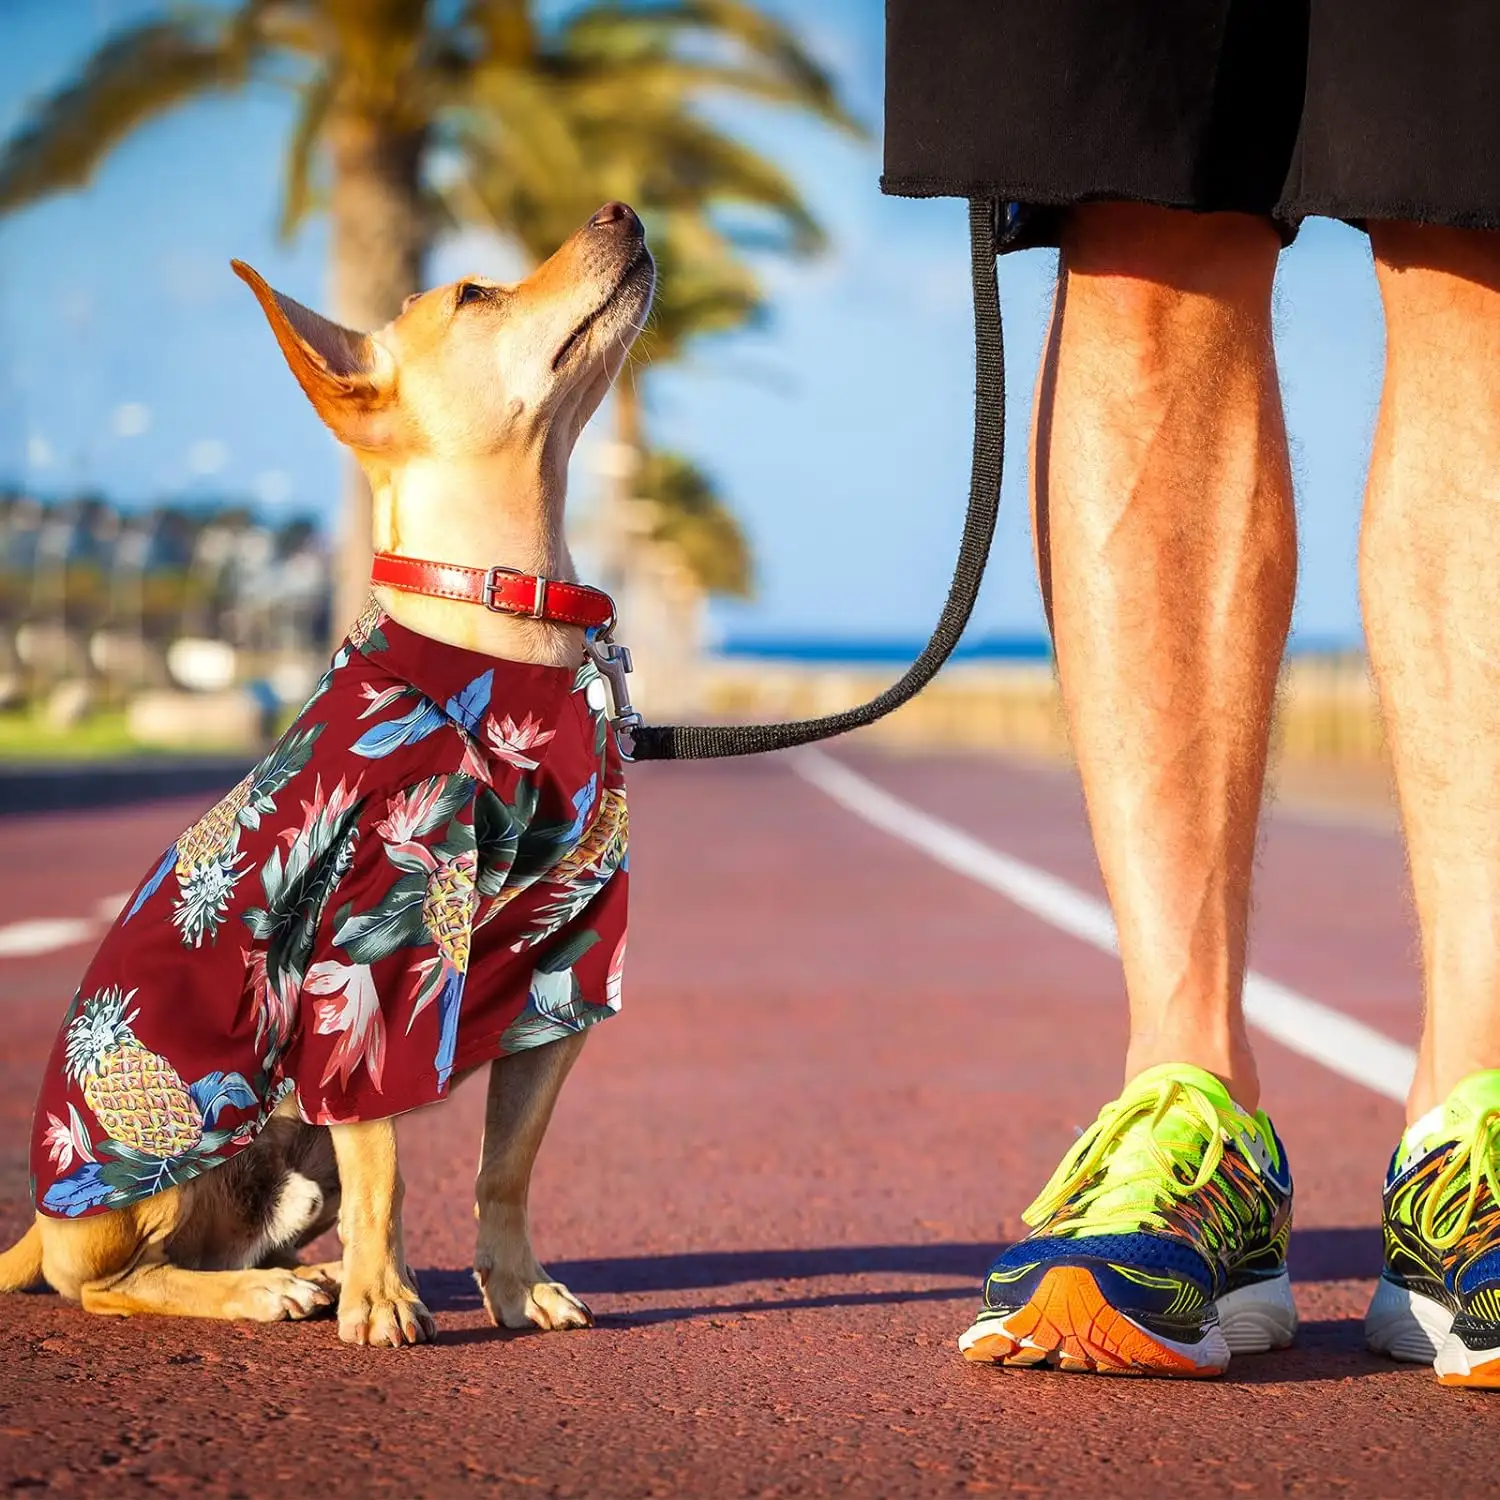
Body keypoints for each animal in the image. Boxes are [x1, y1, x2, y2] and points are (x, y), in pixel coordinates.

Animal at [0, 196, 657, 1350]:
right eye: (474, 295)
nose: (620, 207)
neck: (509, 638)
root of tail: (45, 1220)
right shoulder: (374, 965)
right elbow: (386, 1159)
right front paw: (384, 1302)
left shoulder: (568, 969)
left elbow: (508, 1164)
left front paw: (515, 1284)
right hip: (176, 1127)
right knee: (115, 1281)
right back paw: (273, 1292)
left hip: (289, 1169)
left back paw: (307, 1274)